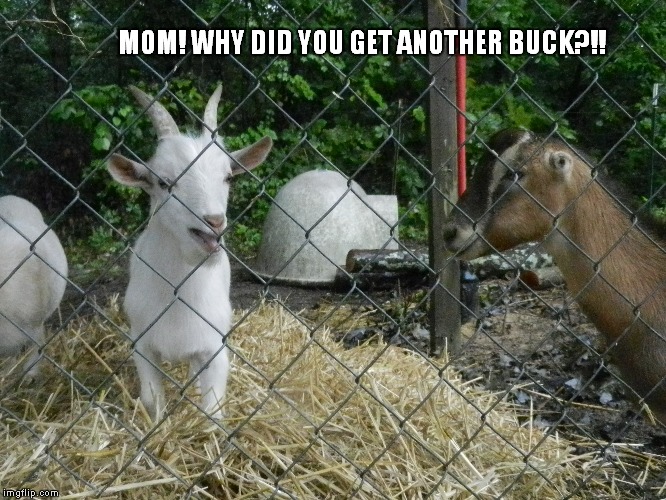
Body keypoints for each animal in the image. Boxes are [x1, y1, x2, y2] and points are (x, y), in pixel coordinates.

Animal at [107, 85, 272, 419]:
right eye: (163, 182)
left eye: (228, 176)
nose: (214, 222)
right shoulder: (142, 344)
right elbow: (152, 400)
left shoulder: (215, 347)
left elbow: (213, 408)